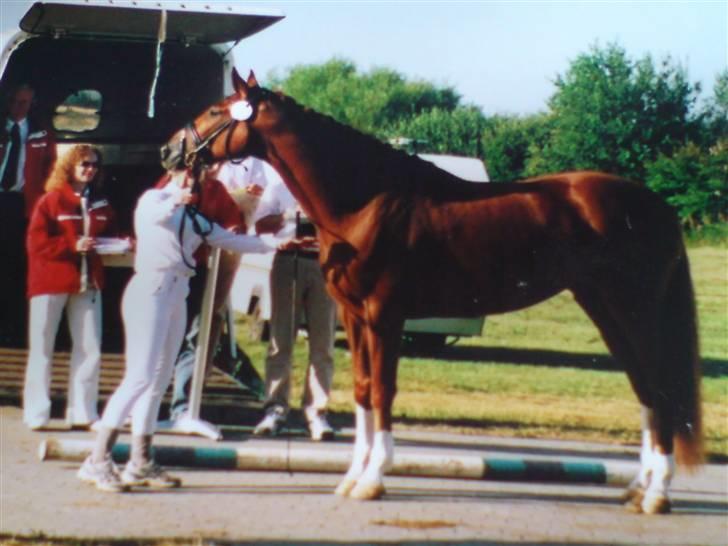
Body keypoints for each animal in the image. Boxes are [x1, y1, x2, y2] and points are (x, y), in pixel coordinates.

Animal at [162, 70, 704, 512]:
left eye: (217, 110)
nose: (171, 150)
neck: (366, 201)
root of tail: (657, 207)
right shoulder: (356, 317)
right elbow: (362, 390)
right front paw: (353, 476)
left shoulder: (384, 315)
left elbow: (383, 391)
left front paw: (373, 480)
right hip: (607, 311)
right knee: (646, 389)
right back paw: (637, 488)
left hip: (633, 311)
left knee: (659, 388)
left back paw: (657, 494)